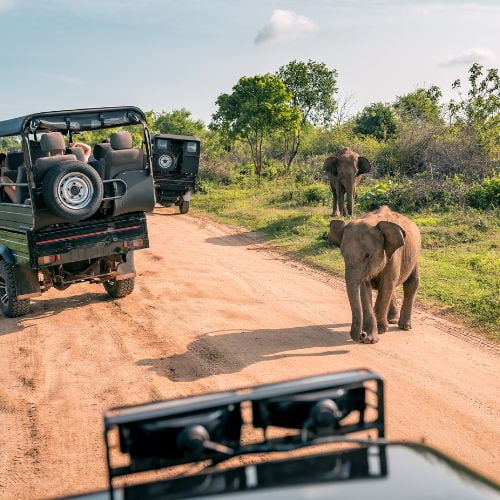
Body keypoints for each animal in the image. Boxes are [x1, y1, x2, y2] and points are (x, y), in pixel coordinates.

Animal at [328, 206, 422, 344]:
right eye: (343, 254)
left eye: (367, 255)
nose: (361, 335)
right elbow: (365, 289)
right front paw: (371, 337)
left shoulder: (394, 256)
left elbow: (386, 285)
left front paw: (381, 330)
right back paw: (392, 320)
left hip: (415, 256)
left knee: (411, 283)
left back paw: (404, 326)